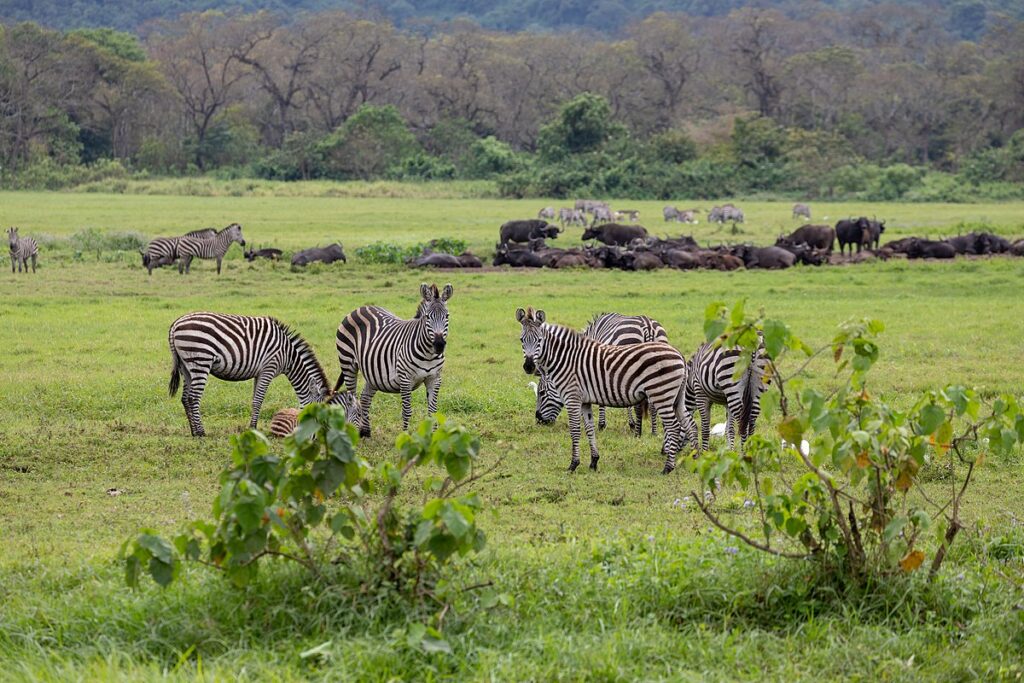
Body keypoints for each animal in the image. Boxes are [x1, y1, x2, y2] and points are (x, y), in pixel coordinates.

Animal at [167, 313, 360, 436]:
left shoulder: (258, 372)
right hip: (201, 359)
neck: (289, 356)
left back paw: (193, 431)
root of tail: (176, 324)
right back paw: (201, 432)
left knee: (185, 398)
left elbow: (255, 399)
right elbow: (258, 400)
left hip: (186, 365)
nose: (319, 430)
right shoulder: (268, 368)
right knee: (193, 397)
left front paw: (252, 427)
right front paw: (253, 428)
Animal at [335, 282, 452, 438]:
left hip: (373, 372)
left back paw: (365, 431)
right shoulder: (405, 379)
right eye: (427, 317)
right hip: (348, 363)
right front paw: (405, 437)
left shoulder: (434, 378)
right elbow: (407, 411)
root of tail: (361, 308)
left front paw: (433, 438)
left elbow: (433, 412)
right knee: (352, 399)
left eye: (447, 316)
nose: (439, 345)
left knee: (365, 397)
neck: (428, 354)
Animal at [516, 307, 700, 473]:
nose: (528, 366)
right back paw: (697, 458)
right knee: (690, 424)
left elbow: (575, 430)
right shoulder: (585, 401)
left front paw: (573, 464)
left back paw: (668, 467)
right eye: (521, 340)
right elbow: (589, 429)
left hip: (661, 394)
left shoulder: (572, 398)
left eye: (539, 340)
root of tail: (679, 355)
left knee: (674, 426)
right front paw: (593, 461)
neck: (566, 360)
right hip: (676, 398)